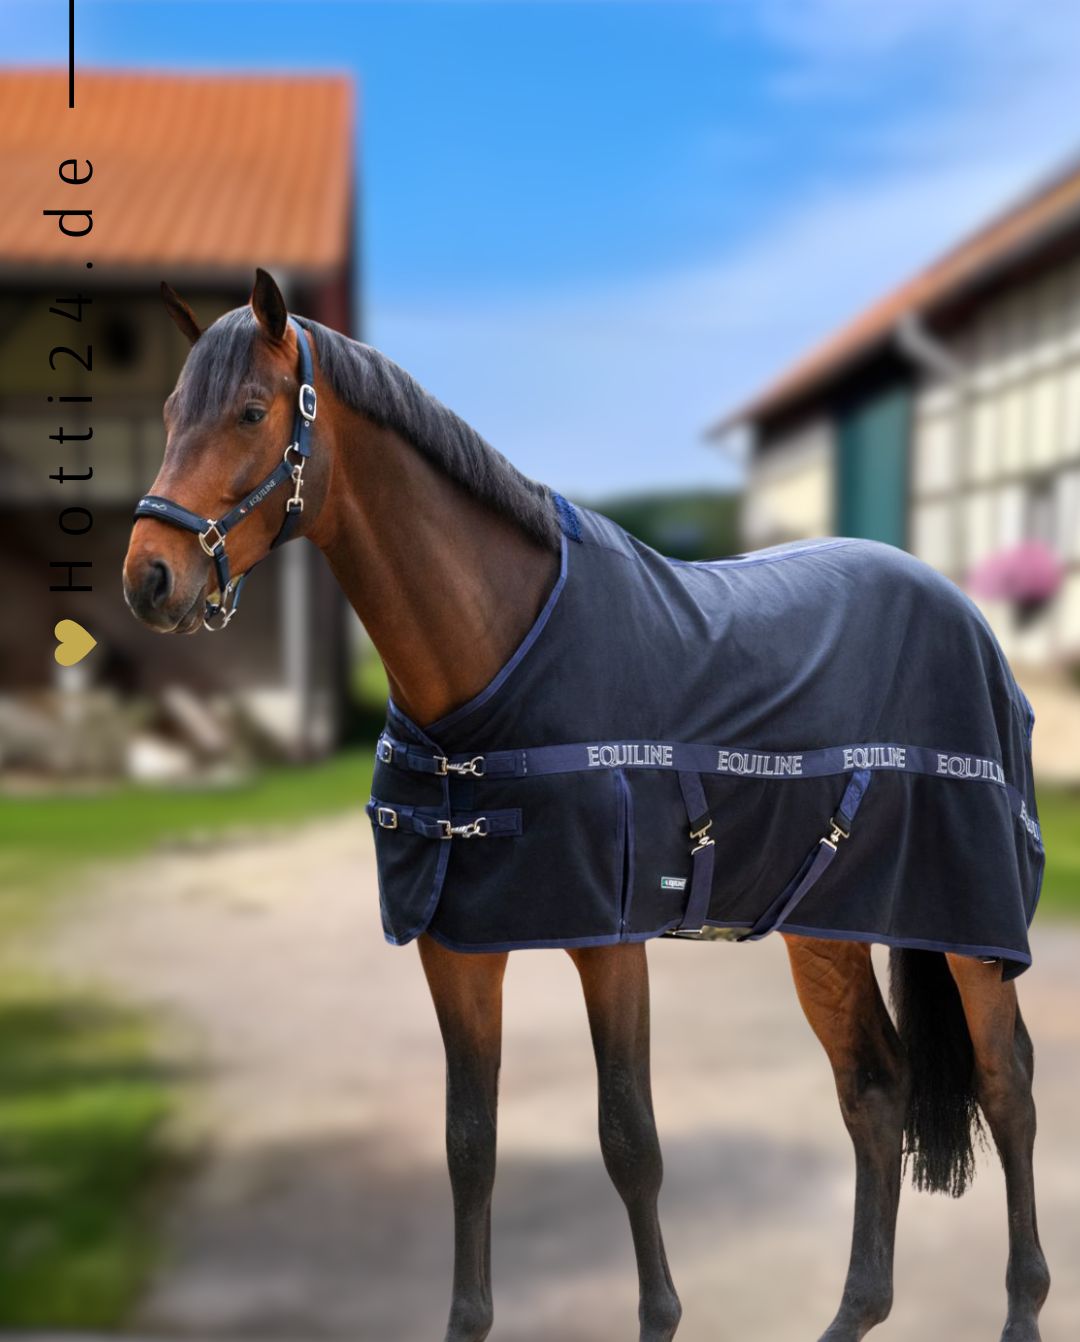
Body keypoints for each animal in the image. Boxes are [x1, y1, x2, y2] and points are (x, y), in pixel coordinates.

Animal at [123, 270, 1049, 1342]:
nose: (148, 577)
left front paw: (658, 1316)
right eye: (169, 412)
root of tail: (961, 608)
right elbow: (469, 1143)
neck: (494, 655)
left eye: (250, 410)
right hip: (829, 924)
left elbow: (629, 1140)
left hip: (968, 927)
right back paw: (855, 1309)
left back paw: (1023, 1308)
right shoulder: (456, 946)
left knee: (1007, 1084)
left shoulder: (609, 944)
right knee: (876, 1087)